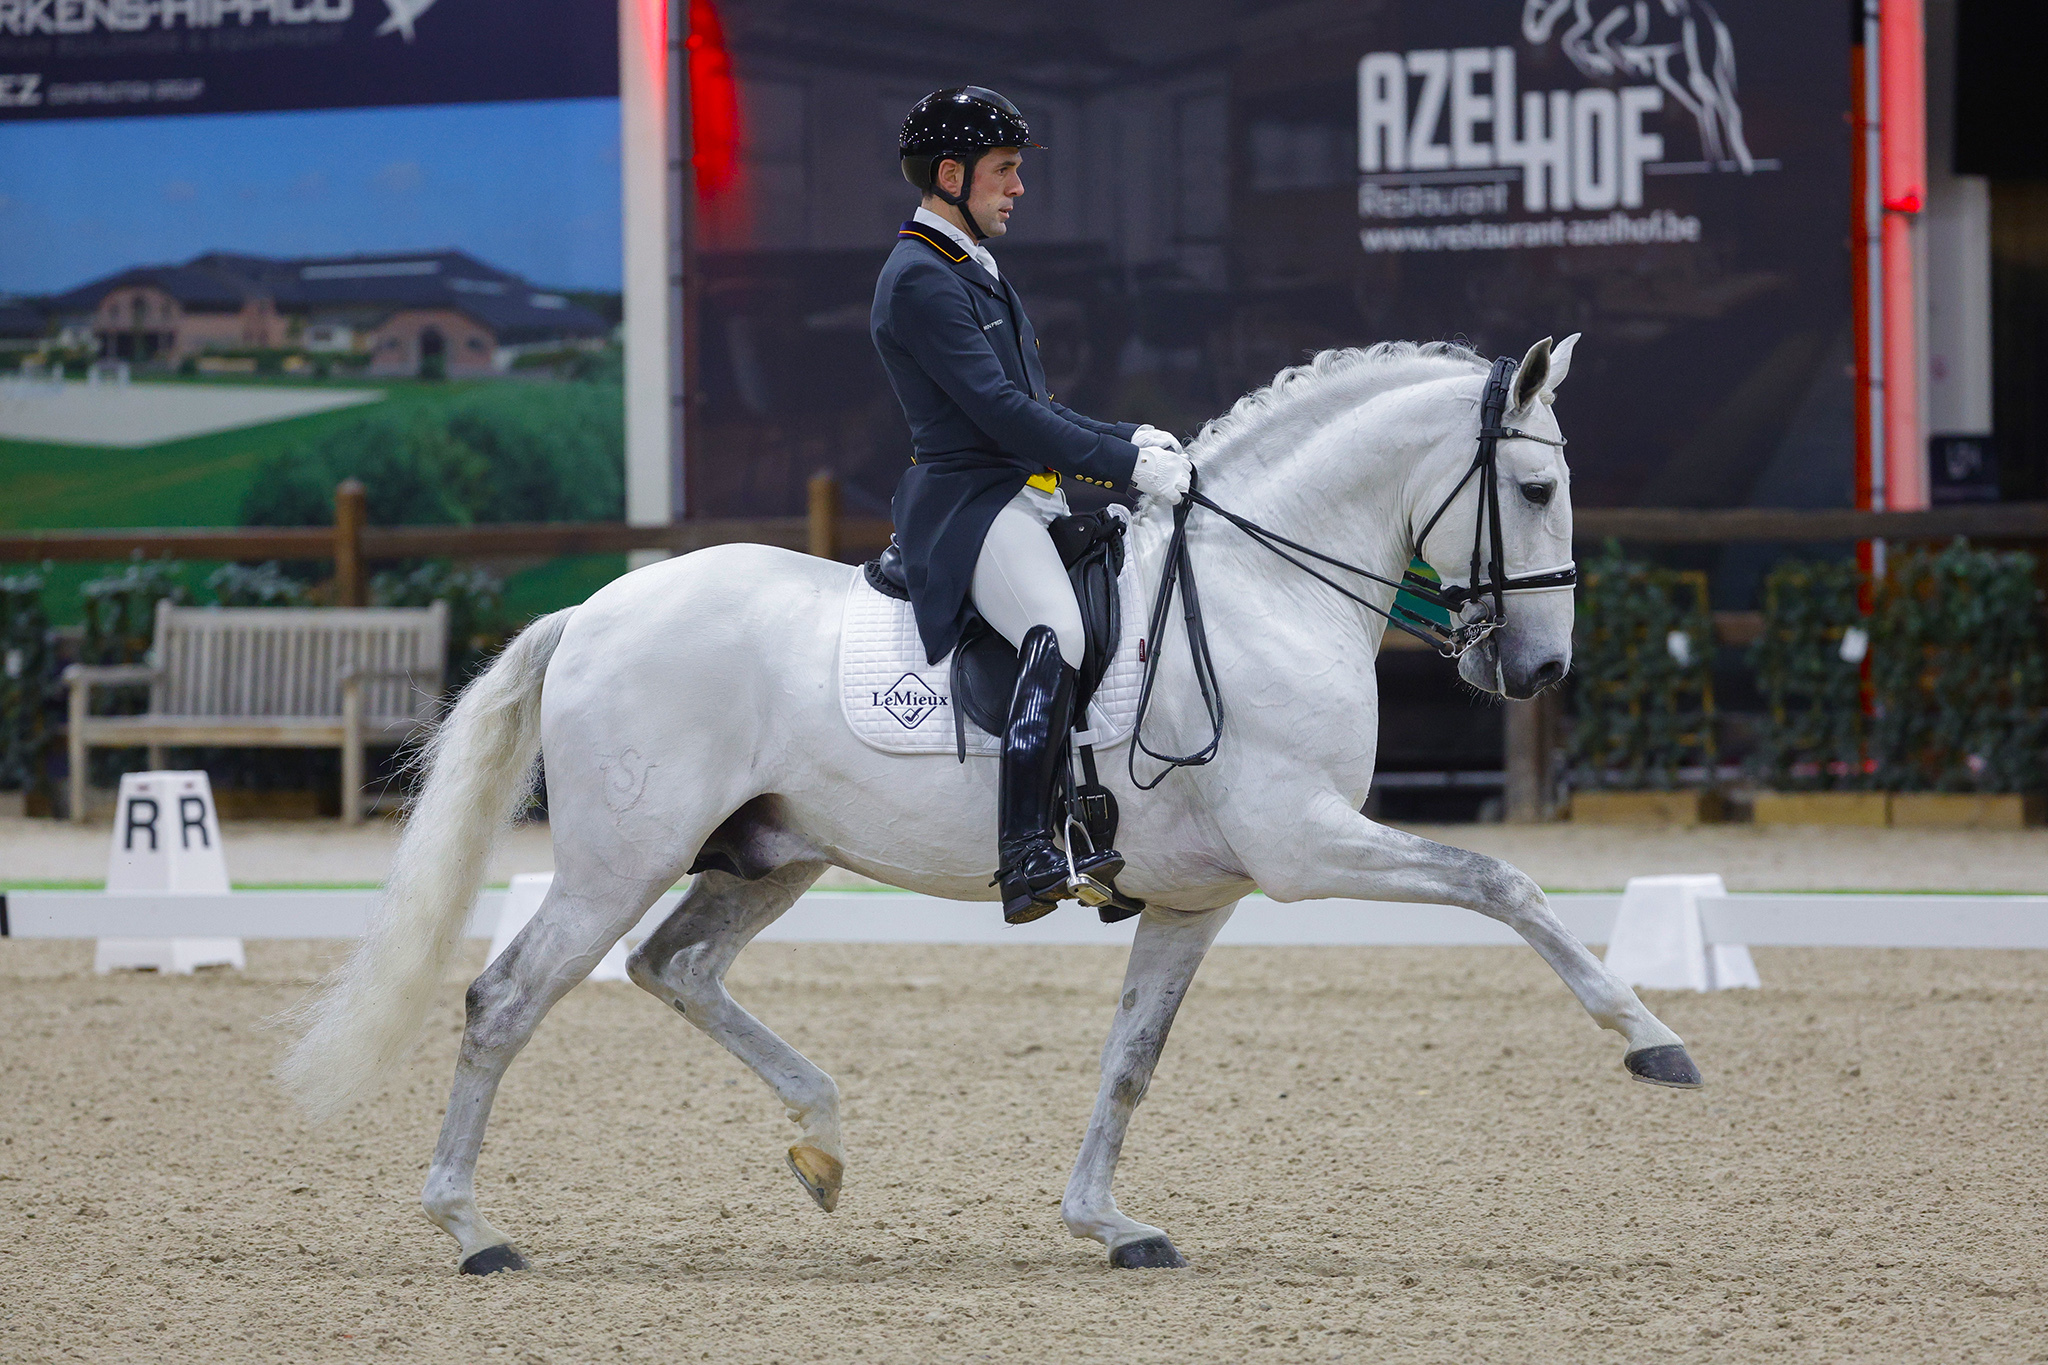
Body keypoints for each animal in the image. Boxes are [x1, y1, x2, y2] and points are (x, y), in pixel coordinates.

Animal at [280, 335, 1703, 1277]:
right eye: (1534, 490)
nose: (1537, 671)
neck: (1261, 587)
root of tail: (594, 609)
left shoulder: (1200, 896)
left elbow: (1130, 1060)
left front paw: (1106, 1224)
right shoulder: (1303, 845)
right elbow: (1502, 882)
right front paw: (1651, 1042)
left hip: (766, 854)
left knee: (672, 968)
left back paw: (821, 1141)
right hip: (616, 856)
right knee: (505, 997)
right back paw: (472, 1230)